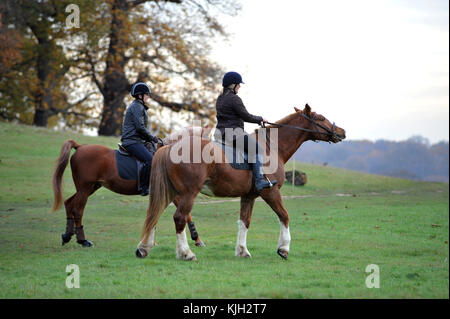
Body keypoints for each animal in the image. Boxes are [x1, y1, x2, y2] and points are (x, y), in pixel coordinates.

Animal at [50, 126, 210, 249]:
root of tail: (80, 147)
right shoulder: (175, 194)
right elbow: (185, 214)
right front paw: (197, 239)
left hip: (89, 188)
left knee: (69, 203)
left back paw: (67, 236)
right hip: (84, 189)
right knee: (78, 210)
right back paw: (83, 240)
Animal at [135, 104, 346, 262]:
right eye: (320, 118)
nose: (342, 132)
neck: (271, 147)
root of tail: (169, 147)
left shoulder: (249, 196)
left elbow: (244, 221)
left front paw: (243, 250)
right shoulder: (271, 192)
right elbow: (284, 216)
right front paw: (283, 249)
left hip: (171, 192)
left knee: (154, 215)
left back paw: (144, 248)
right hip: (188, 194)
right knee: (179, 218)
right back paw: (186, 253)